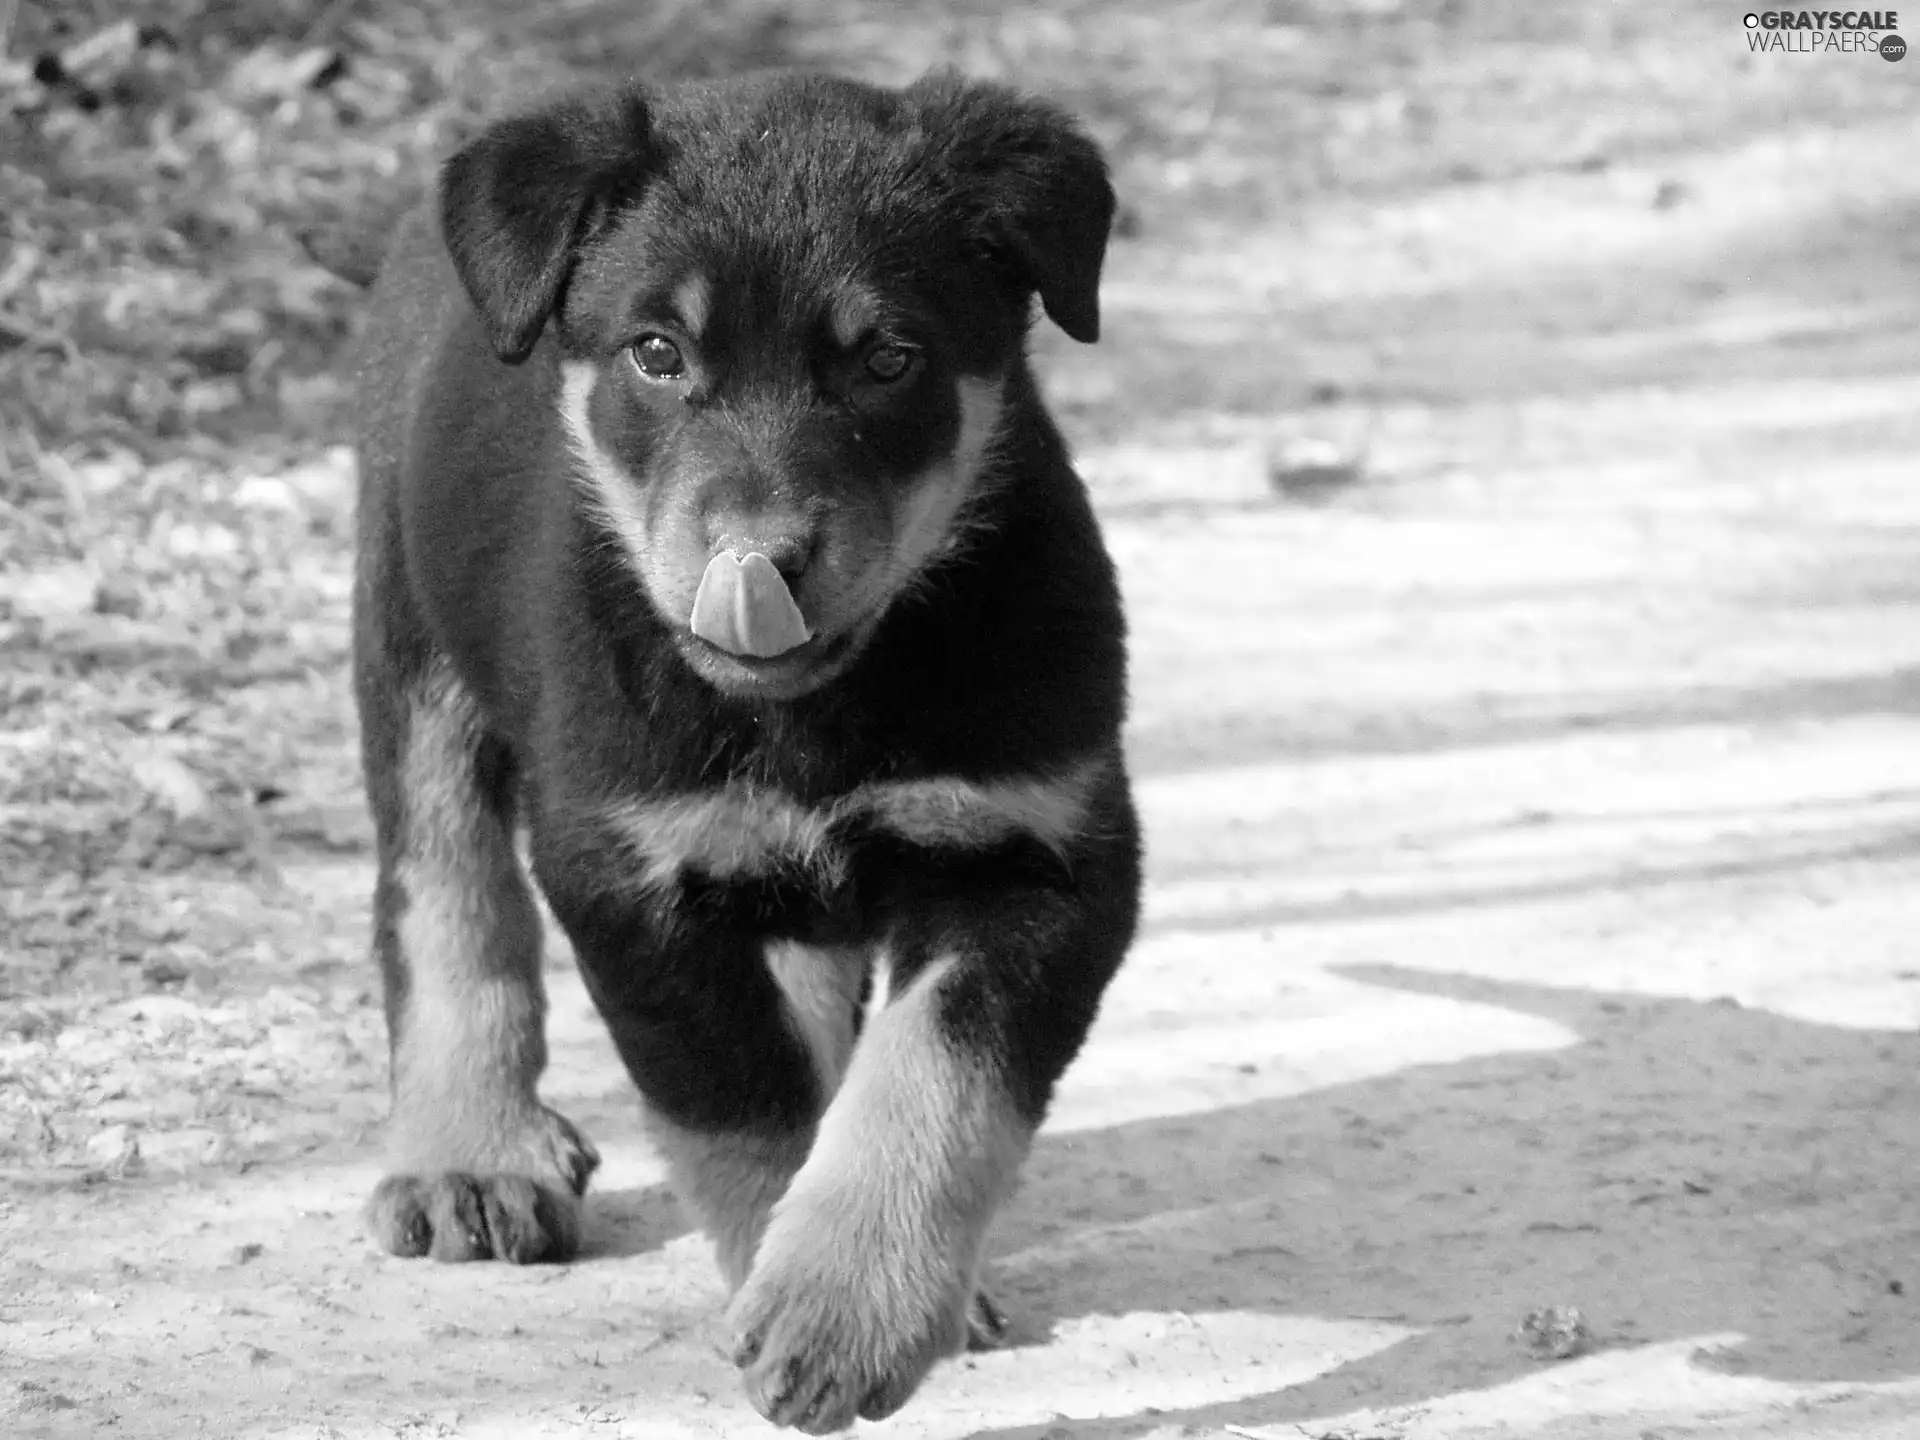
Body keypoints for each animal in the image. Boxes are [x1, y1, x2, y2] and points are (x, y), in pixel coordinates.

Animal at [349, 73, 1136, 1436]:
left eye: (889, 358)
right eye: (658, 354)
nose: (758, 563)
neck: (812, 713)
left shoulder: (1036, 853)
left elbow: (928, 1083)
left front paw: (844, 1302)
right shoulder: (632, 878)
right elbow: (746, 1110)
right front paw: (806, 1298)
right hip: (413, 643)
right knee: (446, 894)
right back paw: (471, 1155)